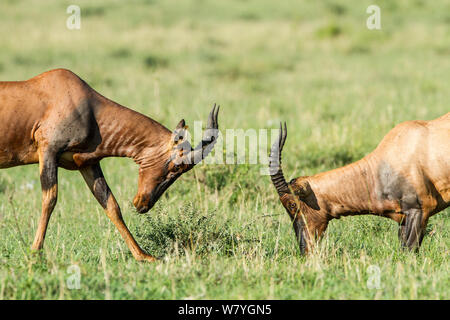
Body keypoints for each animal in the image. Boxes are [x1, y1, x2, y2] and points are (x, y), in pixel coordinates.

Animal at [0, 69, 220, 262]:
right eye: (175, 167)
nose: (142, 205)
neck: (87, 107)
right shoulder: (48, 151)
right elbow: (50, 199)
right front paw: (35, 253)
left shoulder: (88, 164)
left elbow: (111, 204)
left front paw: (144, 256)